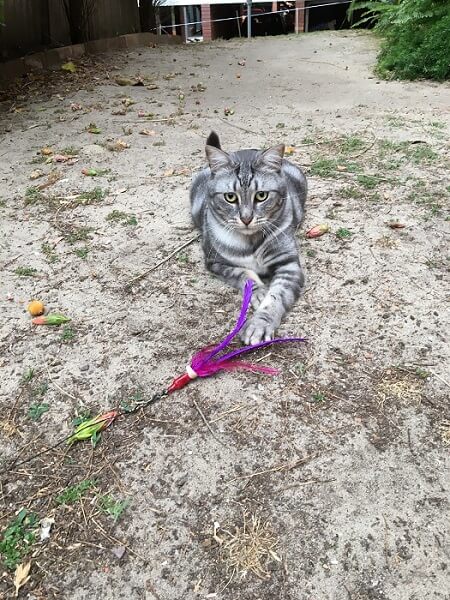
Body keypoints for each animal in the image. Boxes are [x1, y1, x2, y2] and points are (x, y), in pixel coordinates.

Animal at [190, 134, 306, 344]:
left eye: (261, 196)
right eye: (230, 197)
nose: (246, 219)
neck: (251, 241)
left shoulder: (289, 265)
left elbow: (275, 297)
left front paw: (259, 324)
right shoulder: (215, 262)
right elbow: (244, 276)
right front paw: (259, 292)